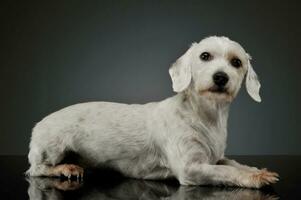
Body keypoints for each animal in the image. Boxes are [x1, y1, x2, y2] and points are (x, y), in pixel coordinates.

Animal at [27, 36, 278, 188]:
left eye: (236, 62)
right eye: (204, 56)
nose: (220, 77)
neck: (205, 116)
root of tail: (38, 124)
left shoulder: (215, 157)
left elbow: (233, 164)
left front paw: (258, 170)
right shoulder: (190, 169)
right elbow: (226, 171)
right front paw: (254, 177)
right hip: (52, 149)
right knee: (35, 169)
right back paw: (65, 168)